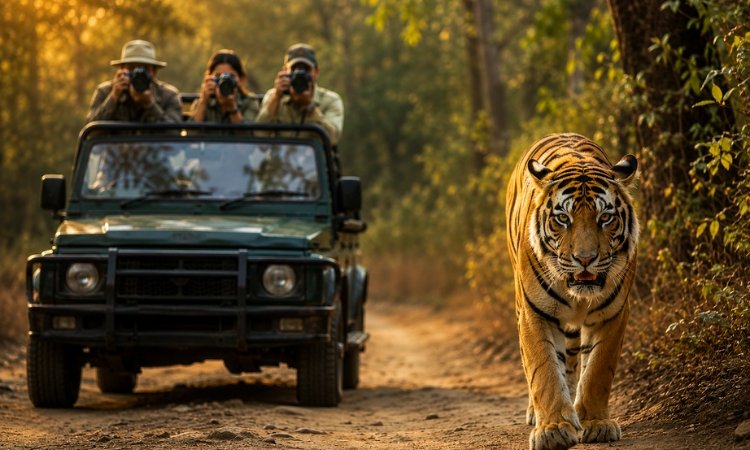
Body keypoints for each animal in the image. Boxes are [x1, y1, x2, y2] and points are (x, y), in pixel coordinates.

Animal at [505, 133, 639, 450]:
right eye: (563, 218)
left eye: (606, 217)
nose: (585, 259)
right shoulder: (534, 313)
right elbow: (543, 370)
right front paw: (553, 429)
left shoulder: (613, 314)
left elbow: (597, 370)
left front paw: (596, 423)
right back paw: (537, 412)